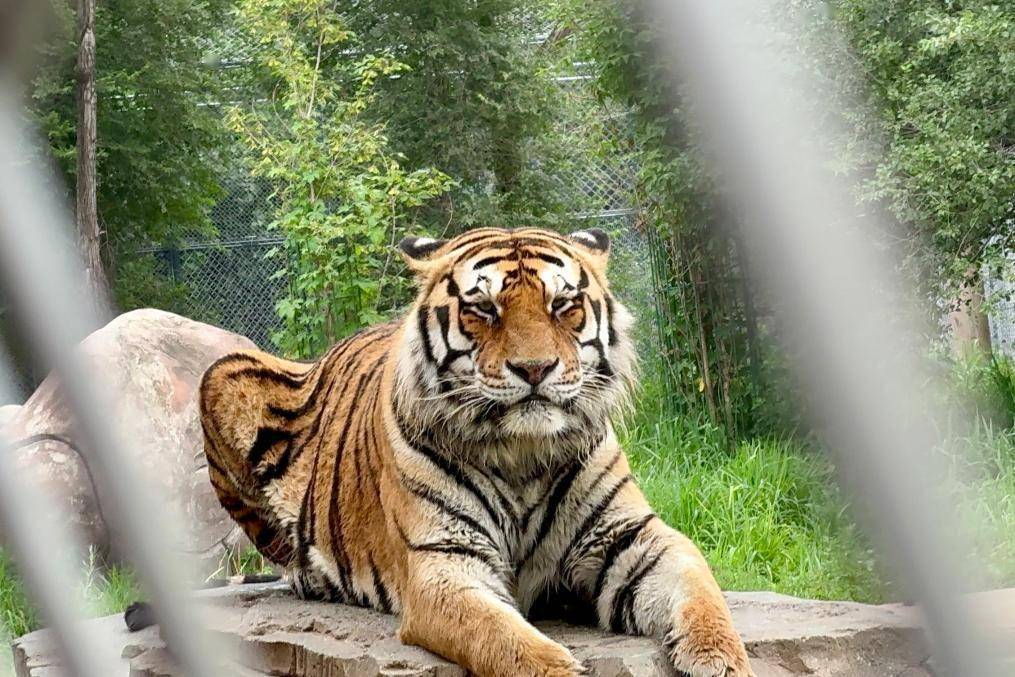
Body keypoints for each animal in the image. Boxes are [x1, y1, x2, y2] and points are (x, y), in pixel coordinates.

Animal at [199, 227, 754, 677]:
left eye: (562, 305)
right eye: (484, 309)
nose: (535, 369)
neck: (522, 452)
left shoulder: (632, 536)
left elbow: (703, 595)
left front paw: (718, 659)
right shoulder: (445, 564)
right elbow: (515, 648)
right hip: (221, 371)